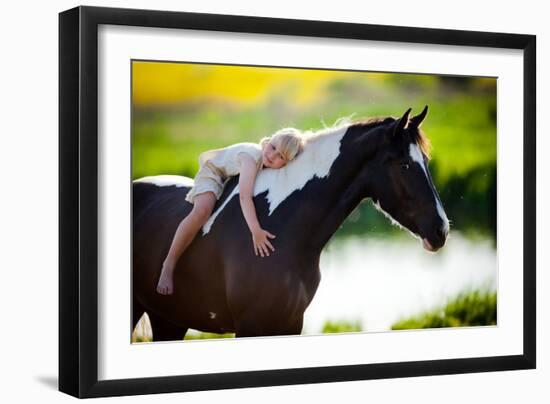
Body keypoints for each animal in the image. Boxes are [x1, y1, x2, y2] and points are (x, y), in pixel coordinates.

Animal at [135, 105, 452, 340]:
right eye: (404, 164)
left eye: (426, 161)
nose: (441, 230)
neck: (284, 227)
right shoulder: (251, 327)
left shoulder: (289, 324)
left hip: (169, 320)